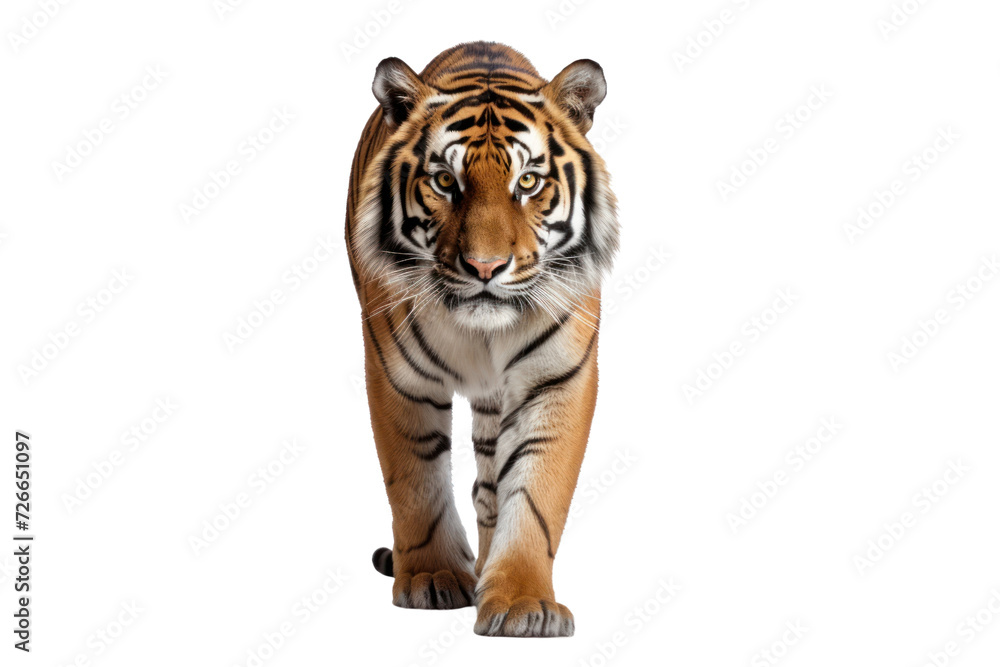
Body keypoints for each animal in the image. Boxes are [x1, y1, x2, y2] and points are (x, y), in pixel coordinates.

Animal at [344, 41, 619, 637]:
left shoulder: (557, 379)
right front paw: (431, 577)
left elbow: (535, 495)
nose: (486, 267)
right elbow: (415, 481)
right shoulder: (398, 375)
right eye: (445, 182)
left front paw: (521, 601)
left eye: (529, 183)